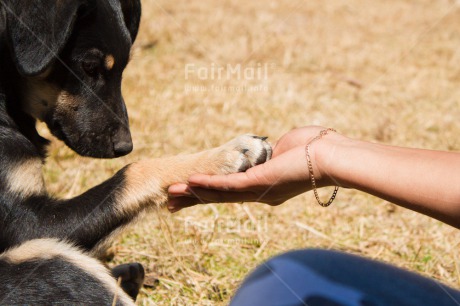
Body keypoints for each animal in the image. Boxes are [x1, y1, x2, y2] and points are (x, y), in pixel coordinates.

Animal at [0, 0, 272, 304]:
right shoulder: (32, 226)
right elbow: (135, 170)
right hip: (47, 257)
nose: (125, 146)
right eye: (88, 66)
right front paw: (225, 154)